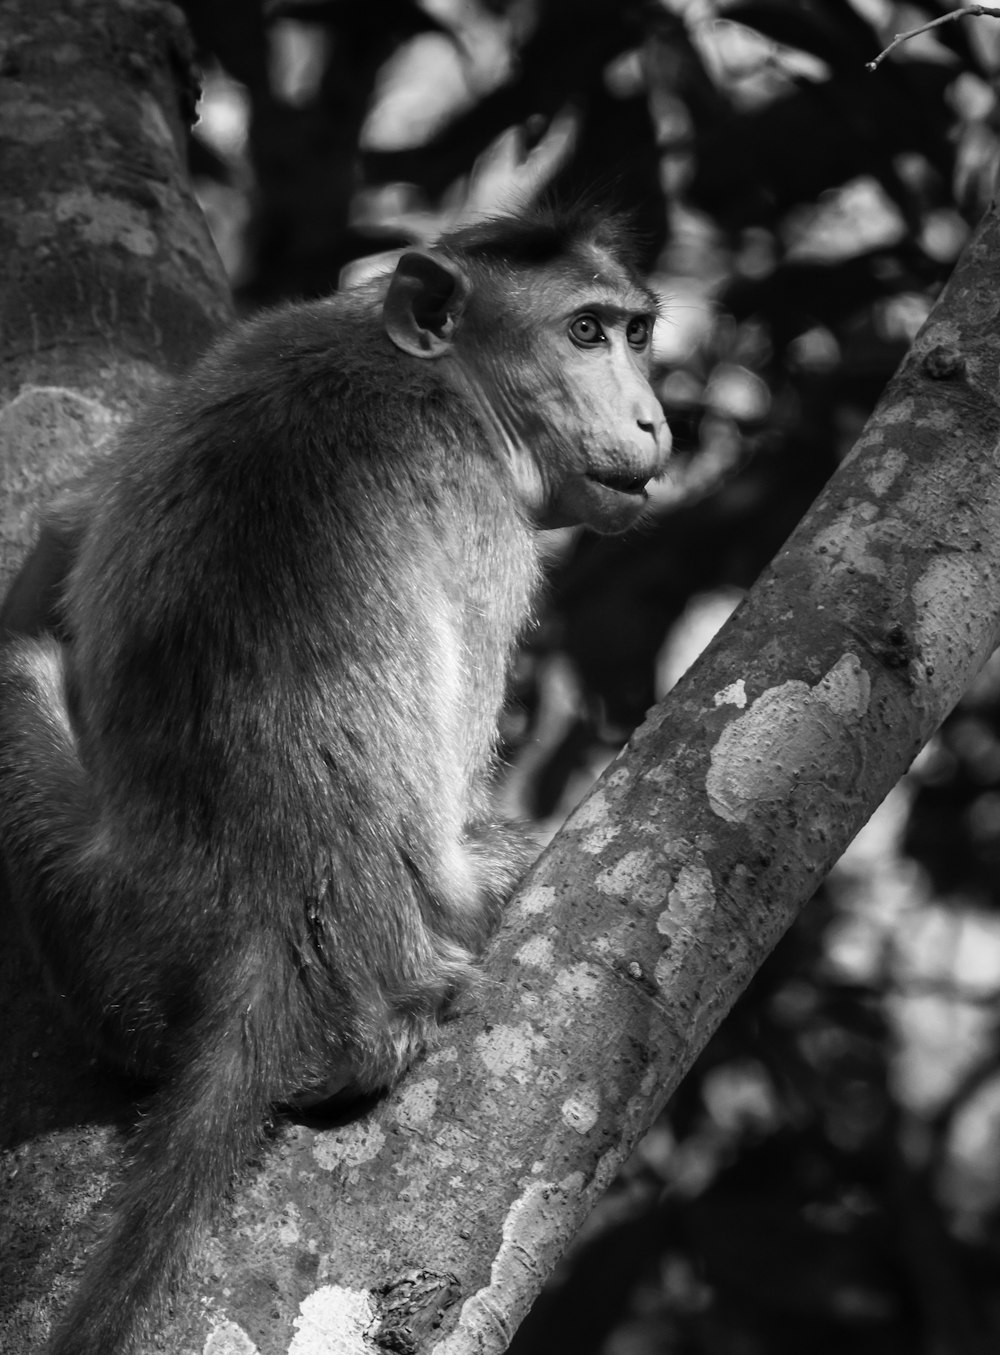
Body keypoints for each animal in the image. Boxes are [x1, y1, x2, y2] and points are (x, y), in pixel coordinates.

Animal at [0, 203, 669, 1355]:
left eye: (635, 332)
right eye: (585, 332)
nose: (654, 420)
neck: (427, 367)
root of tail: (264, 944)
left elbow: (65, 536)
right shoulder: (484, 521)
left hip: (101, 944)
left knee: (16, 664)